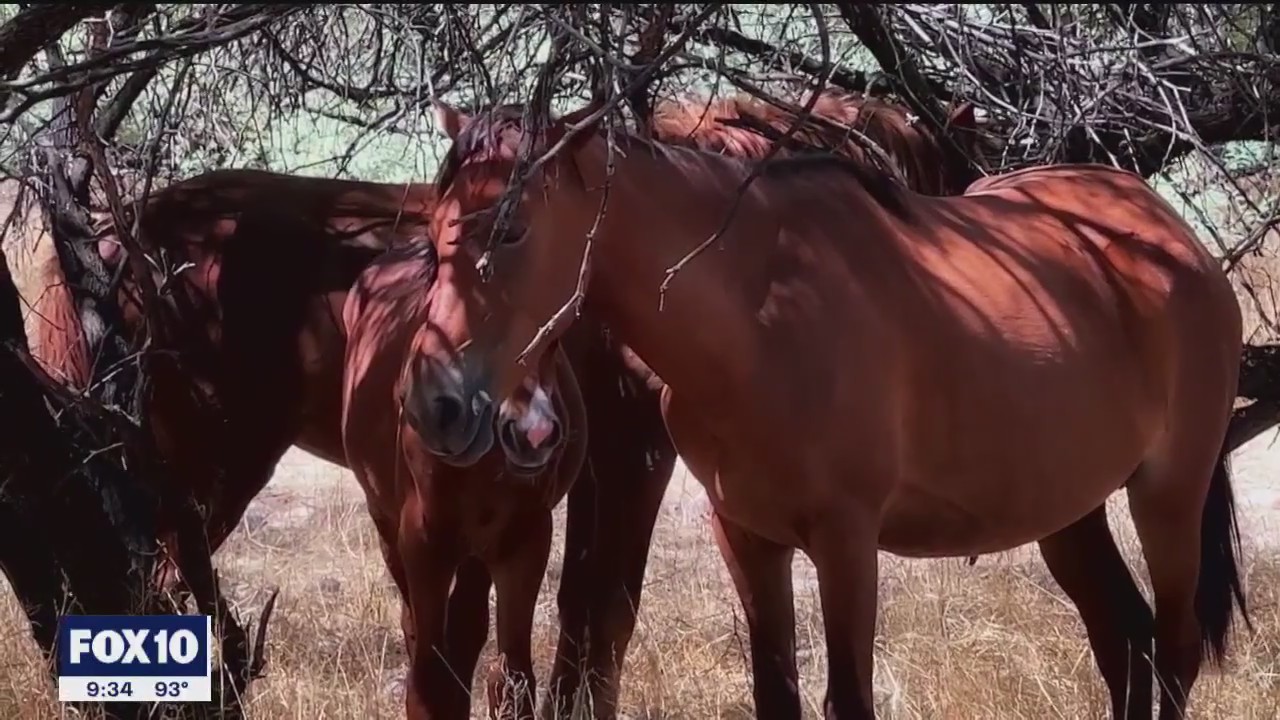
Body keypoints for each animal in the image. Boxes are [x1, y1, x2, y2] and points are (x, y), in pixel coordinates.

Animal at [341, 238, 586, 719]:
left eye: (555, 331)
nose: (533, 433)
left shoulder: (525, 540)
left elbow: (511, 680)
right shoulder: (423, 541)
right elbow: (426, 678)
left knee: (467, 629)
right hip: (387, 525)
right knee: (419, 628)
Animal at [420, 96, 1250, 720]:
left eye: (510, 229)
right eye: (429, 235)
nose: (437, 406)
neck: (759, 318)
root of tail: (1168, 234)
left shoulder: (847, 542)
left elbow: (847, 700)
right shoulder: (749, 539)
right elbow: (775, 694)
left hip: (1167, 495)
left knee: (1175, 650)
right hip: (1067, 510)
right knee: (1126, 640)